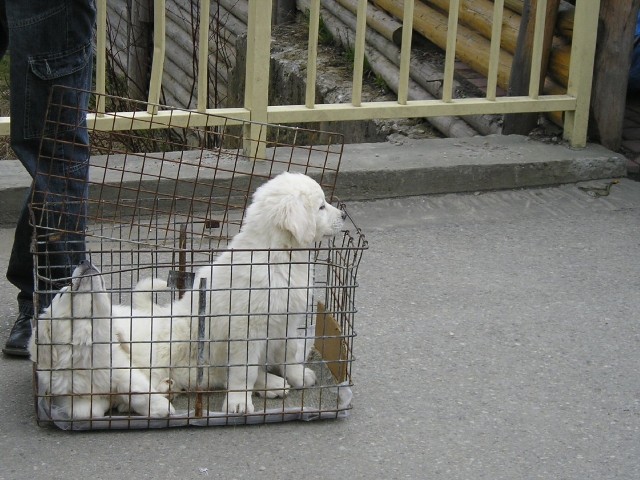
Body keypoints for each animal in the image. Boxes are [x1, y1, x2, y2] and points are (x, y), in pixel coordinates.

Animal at [30, 260, 175, 418]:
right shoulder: (66, 396)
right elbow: (88, 411)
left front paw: (161, 407)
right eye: (62, 294)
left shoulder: (123, 368)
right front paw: (109, 401)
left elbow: (139, 391)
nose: (85, 261)